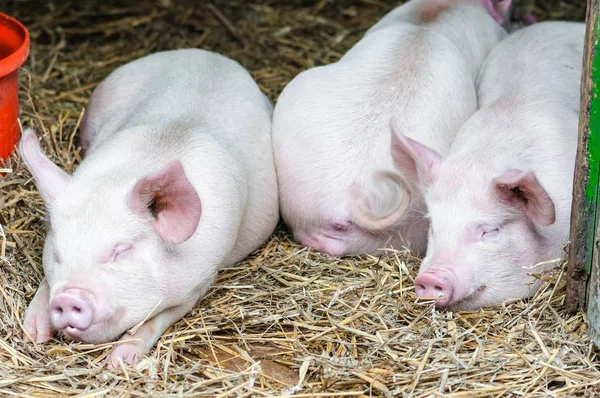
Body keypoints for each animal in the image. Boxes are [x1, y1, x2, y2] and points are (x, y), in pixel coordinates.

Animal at [19, 49, 278, 366]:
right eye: (58, 254)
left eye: (121, 250)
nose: (69, 298)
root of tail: (205, 52)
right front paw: (33, 333)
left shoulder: (201, 277)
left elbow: (155, 319)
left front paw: (119, 361)